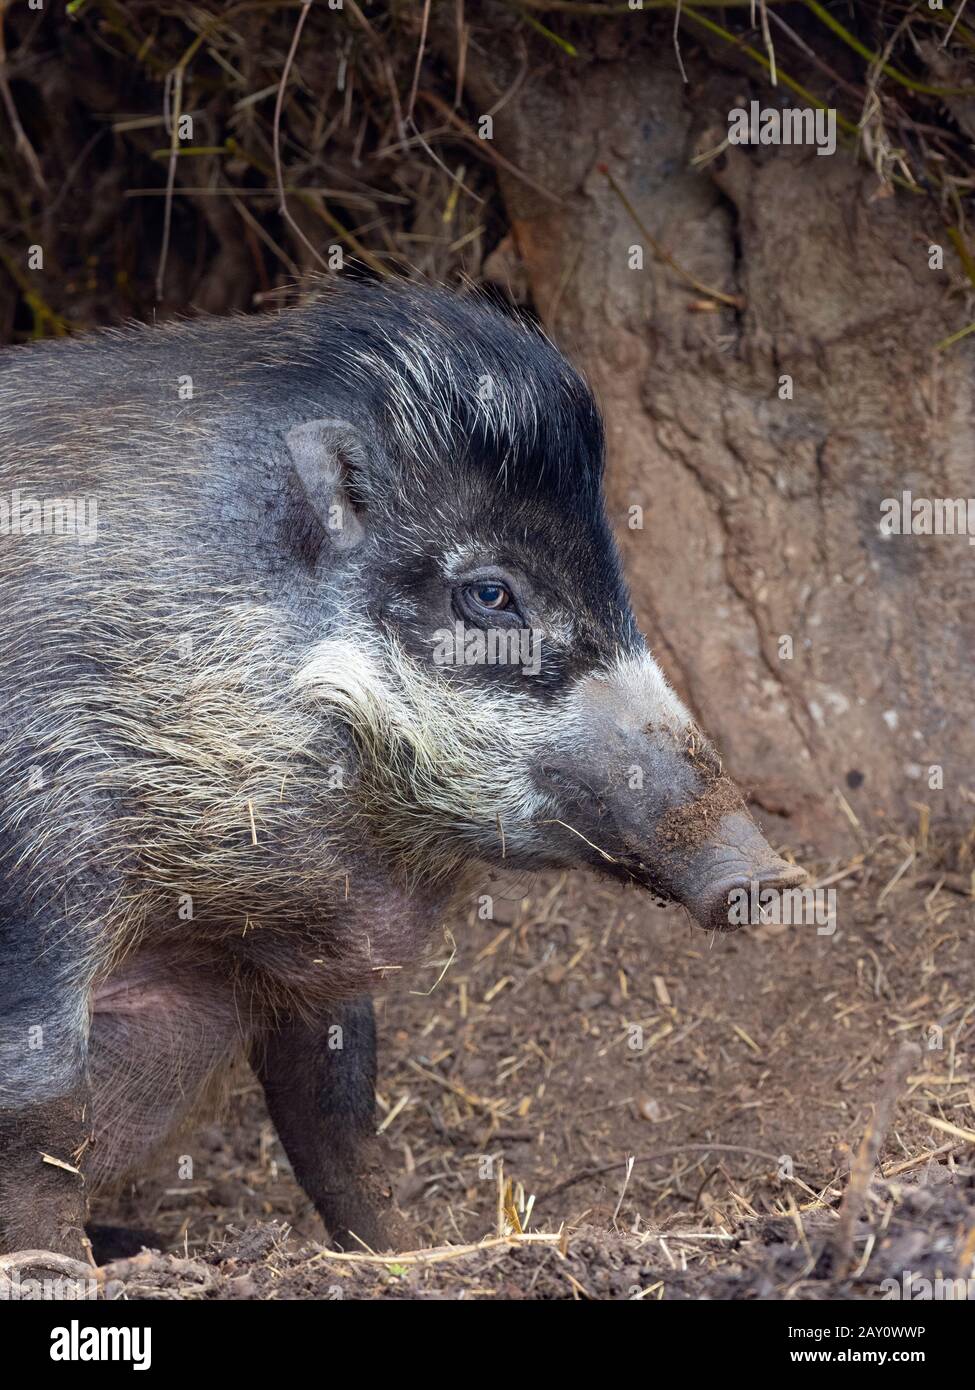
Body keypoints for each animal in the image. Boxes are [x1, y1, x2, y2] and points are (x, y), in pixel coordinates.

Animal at [0, 282, 804, 1263]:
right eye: (491, 593)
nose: (768, 875)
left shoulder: (311, 943)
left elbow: (338, 1110)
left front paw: (400, 1252)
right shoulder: (43, 856)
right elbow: (41, 1113)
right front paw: (57, 1270)